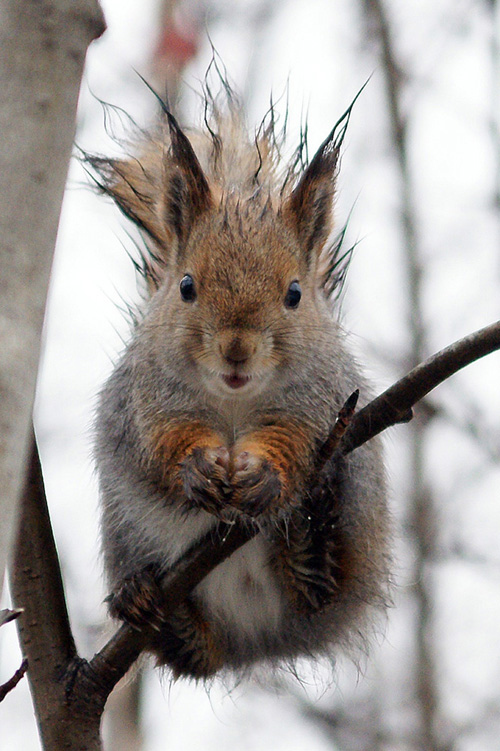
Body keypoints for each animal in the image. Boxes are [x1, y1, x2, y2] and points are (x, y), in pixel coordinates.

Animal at [89, 81, 390, 680]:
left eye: (294, 293)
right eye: (186, 286)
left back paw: (308, 548)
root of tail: (257, 645)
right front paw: (197, 467)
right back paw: (150, 604)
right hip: (125, 531)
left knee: (317, 594)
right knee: (195, 655)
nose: (236, 349)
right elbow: (161, 442)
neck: (233, 403)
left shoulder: (320, 397)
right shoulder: (145, 397)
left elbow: (294, 439)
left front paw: (264, 476)